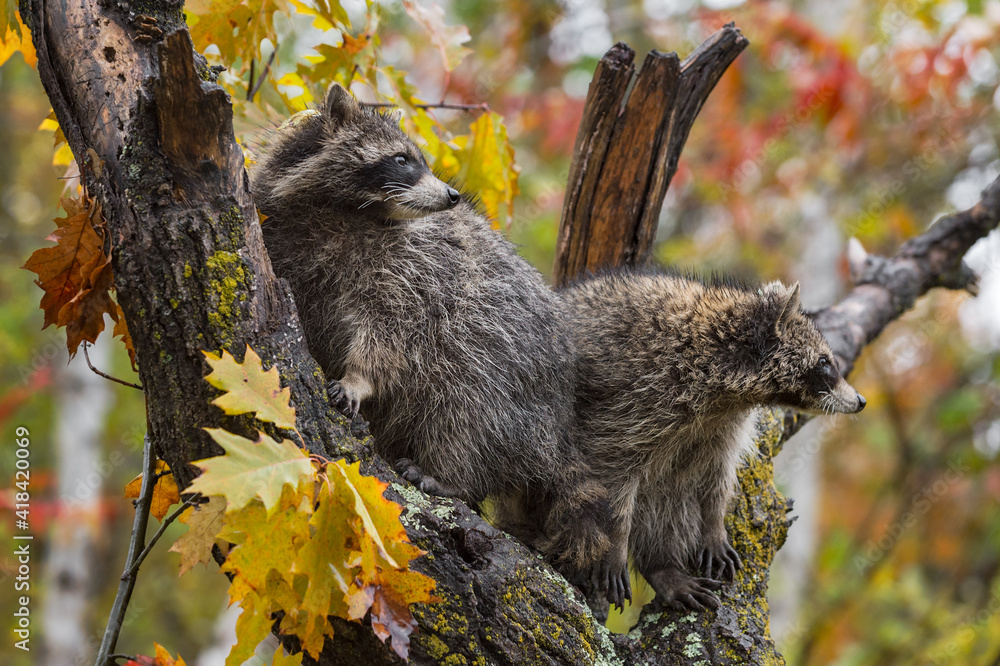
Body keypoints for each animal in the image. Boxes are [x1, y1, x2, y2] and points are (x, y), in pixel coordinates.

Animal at [250, 84, 624, 608]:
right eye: (401, 159)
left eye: (420, 159)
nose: (452, 195)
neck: (346, 214)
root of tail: (559, 427)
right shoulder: (287, 243)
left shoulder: (421, 272)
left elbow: (394, 334)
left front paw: (359, 377)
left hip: (506, 376)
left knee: (468, 412)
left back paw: (449, 471)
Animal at [564, 270, 868, 612]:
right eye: (824, 362)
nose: (861, 401)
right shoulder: (632, 399)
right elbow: (612, 473)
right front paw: (616, 542)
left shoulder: (722, 424)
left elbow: (717, 474)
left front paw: (713, 522)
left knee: (670, 495)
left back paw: (661, 565)